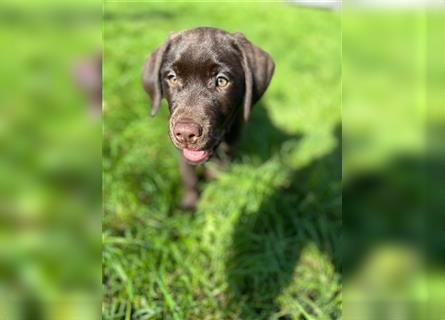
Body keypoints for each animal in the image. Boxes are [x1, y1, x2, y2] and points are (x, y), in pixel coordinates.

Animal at [142, 27, 274, 210]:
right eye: (172, 78)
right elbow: (188, 176)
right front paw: (190, 204)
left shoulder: (229, 147)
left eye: (222, 81)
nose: (185, 133)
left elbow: (217, 173)